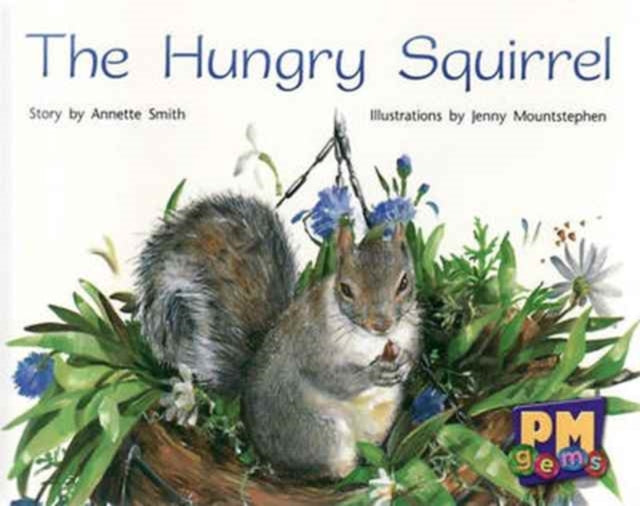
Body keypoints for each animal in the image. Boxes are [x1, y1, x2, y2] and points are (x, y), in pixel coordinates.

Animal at [135, 193, 422, 479]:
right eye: (346, 289)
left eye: (404, 282)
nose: (381, 324)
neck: (370, 340)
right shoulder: (310, 344)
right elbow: (330, 378)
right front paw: (372, 374)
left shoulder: (410, 331)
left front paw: (405, 363)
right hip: (320, 435)